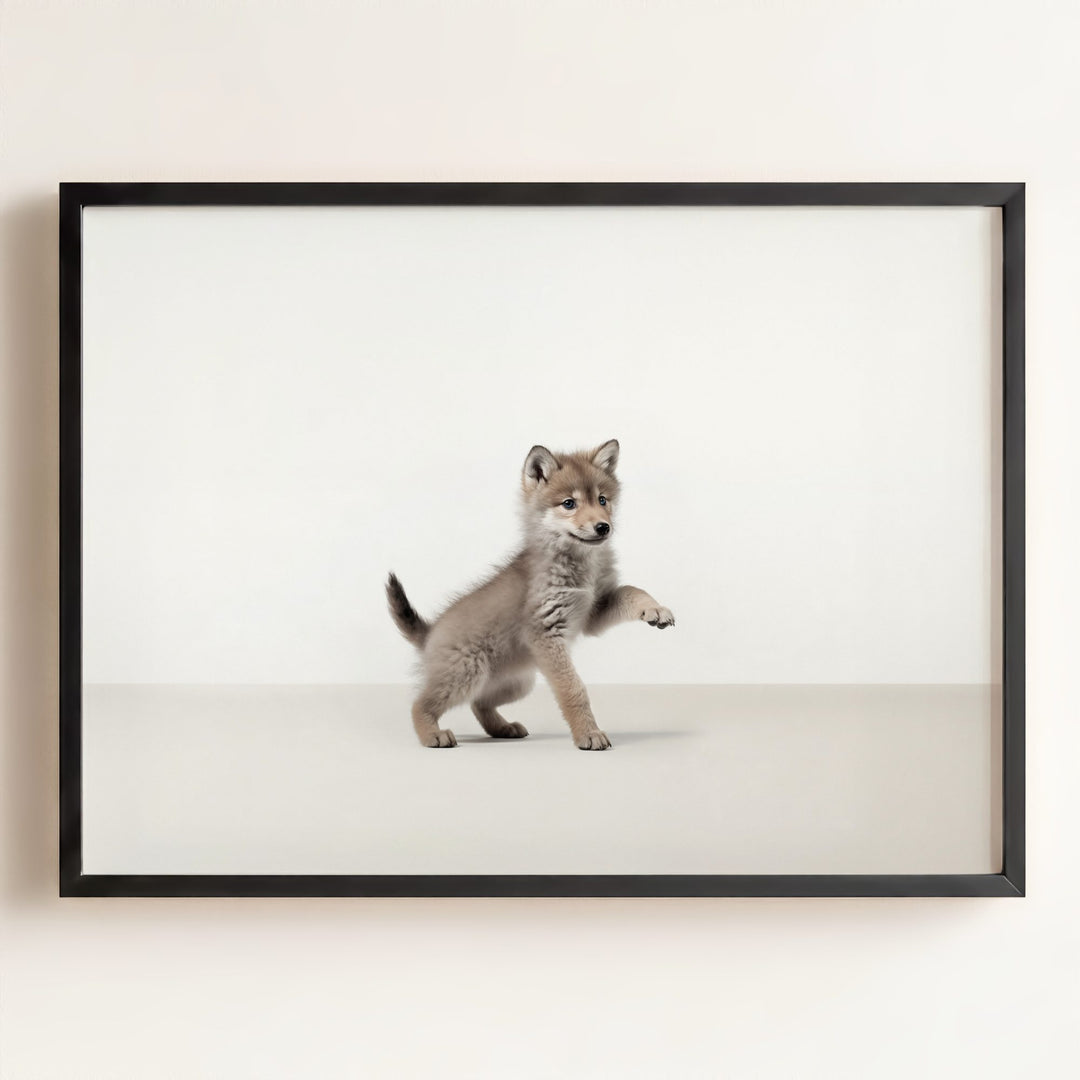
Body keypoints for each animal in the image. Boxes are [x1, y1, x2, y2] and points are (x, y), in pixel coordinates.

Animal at [385, 439, 674, 750]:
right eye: (569, 503)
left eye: (602, 500)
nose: (603, 527)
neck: (580, 565)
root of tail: (430, 632)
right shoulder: (547, 633)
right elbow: (574, 689)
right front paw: (588, 733)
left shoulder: (594, 611)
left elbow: (632, 590)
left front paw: (655, 609)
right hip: (467, 674)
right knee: (420, 704)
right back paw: (432, 734)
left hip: (517, 683)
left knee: (479, 703)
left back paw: (502, 728)